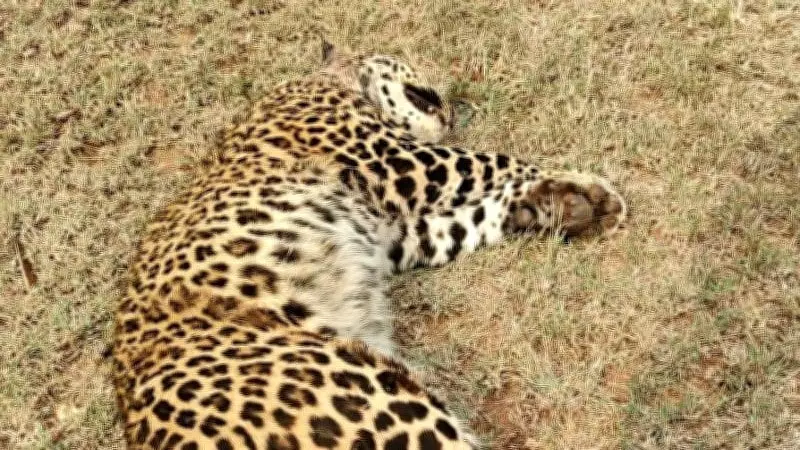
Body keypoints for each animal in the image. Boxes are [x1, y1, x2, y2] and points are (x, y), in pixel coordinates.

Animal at [112, 40, 627, 450]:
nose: (452, 111)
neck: (329, 79)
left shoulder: (395, 236)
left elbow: (467, 221)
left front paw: (569, 204)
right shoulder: (401, 162)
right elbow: (491, 161)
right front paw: (577, 181)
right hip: (376, 399)